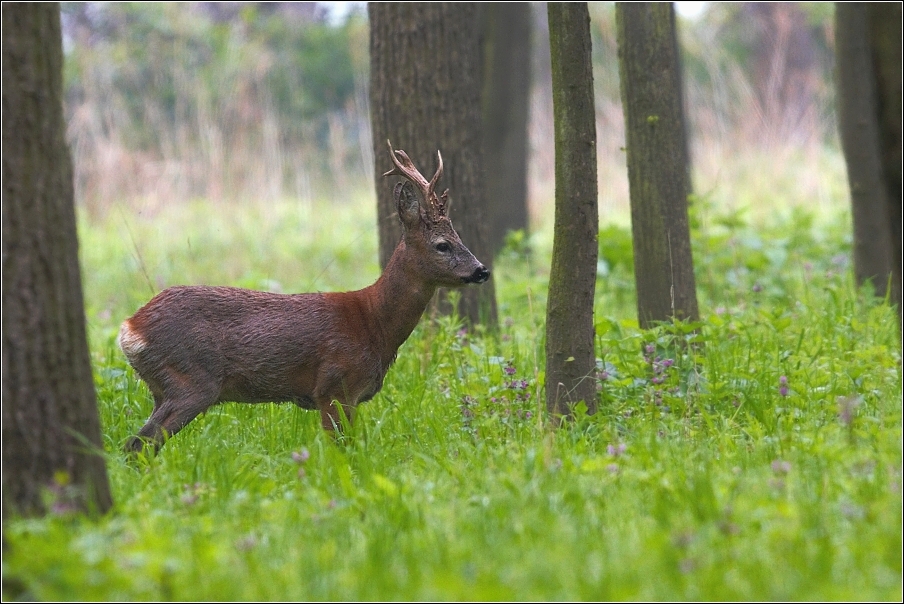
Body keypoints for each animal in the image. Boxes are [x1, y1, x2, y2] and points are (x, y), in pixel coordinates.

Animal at [121, 142, 490, 452]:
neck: (374, 323)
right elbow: (340, 449)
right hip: (191, 380)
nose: (481, 271)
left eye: (459, 238)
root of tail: (129, 328)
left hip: (163, 387)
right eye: (443, 245)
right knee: (138, 445)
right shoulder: (334, 385)